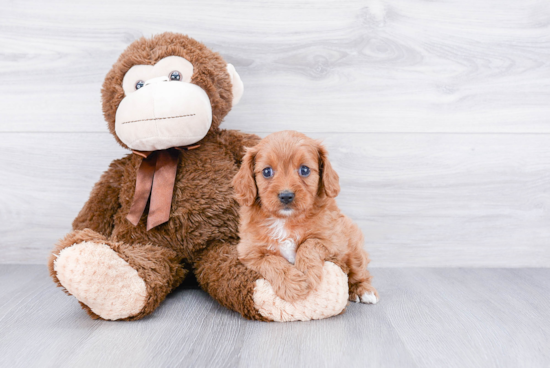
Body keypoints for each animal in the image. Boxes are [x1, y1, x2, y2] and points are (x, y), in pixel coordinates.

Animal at [233, 131, 380, 304]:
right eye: (267, 171)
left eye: (304, 170)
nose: (286, 196)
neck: (286, 220)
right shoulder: (249, 252)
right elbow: (271, 260)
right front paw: (292, 284)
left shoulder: (333, 241)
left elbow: (309, 243)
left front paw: (306, 273)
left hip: (353, 243)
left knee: (358, 270)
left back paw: (363, 290)